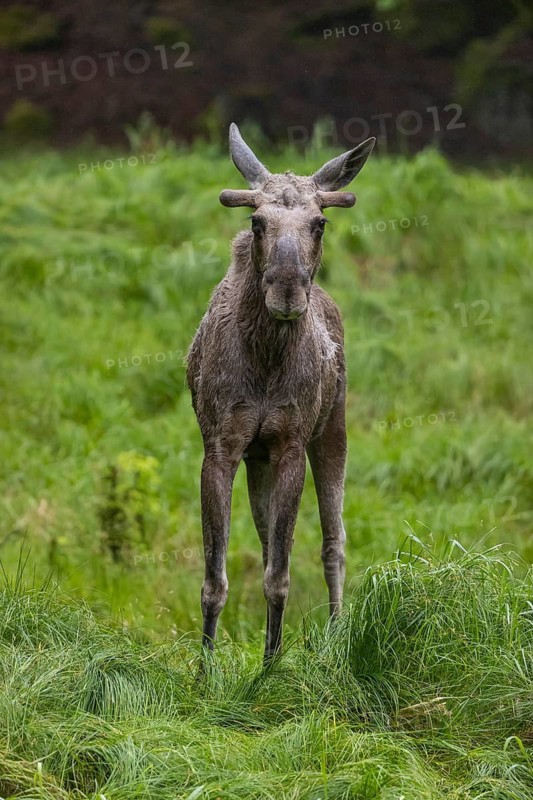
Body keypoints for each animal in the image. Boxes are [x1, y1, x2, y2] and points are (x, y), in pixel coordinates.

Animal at [187, 123, 375, 662]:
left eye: (319, 223)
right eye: (256, 221)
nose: (288, 290)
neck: (266, 360)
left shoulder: (291, 444)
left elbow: (280, 576)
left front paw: (271, 667)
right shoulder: (223, 447)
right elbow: (216, 578)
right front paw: (205, 669)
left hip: (333, 429)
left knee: (334, 540)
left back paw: (336, 634)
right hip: (259, 461)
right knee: (268, 540)